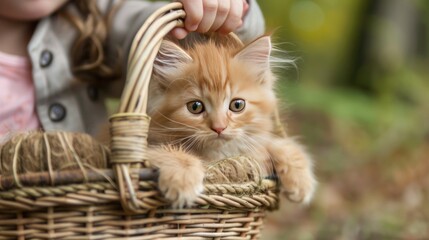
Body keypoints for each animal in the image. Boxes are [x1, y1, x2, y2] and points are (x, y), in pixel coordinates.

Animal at [145, 34, 316, 207]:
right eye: (195, 107)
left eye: (237, 105)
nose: (219, 127)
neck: (220, 154)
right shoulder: (148, 143)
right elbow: (165, 151)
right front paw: (183, 179)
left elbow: (277, 143)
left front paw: (300, 181)